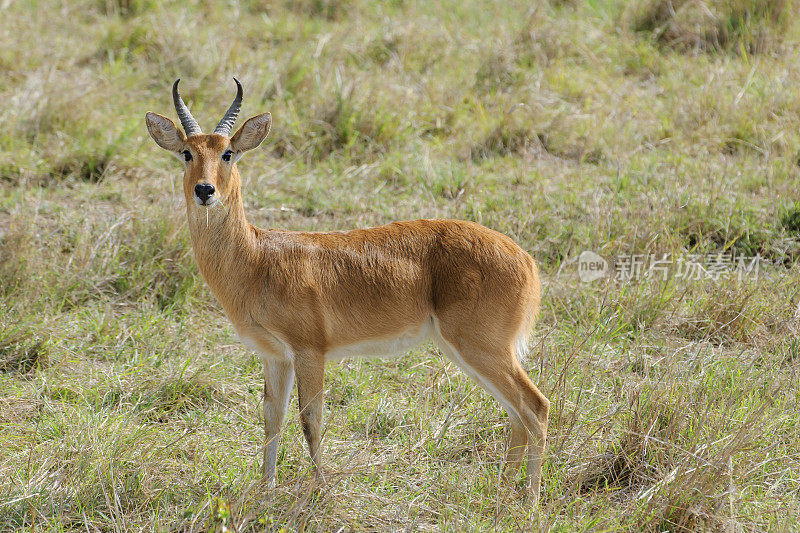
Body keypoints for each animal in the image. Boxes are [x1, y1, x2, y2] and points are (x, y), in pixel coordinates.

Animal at [145, 79, 552, 502]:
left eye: (227, 153)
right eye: (187, 152)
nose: (205, 190)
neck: (257, 258)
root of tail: (526, 259)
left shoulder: (310, 351)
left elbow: (311, 420)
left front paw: (321, 490)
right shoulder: (275, 356)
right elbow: (273, 419)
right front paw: (266, 491)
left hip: (480, 347)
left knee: (535, 407)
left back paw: (530, 503)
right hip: (467, 350)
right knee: (516, 414)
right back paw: (503, 496)